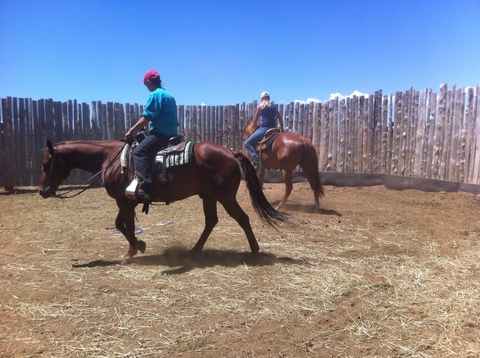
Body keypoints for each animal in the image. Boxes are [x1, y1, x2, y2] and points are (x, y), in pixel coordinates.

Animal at [39, 138, 286, 264]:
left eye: (45, 163)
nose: (42, 191)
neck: (111, 159)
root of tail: (231, 152)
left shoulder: (123, 202)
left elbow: (127, 225)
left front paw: (130, 253)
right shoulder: (125, 200)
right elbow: (121, 225)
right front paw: (139, 245)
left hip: (225, 197)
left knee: (242, 218)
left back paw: (254, 251)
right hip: (209, 196)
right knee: (211, 221)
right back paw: (194, 251)